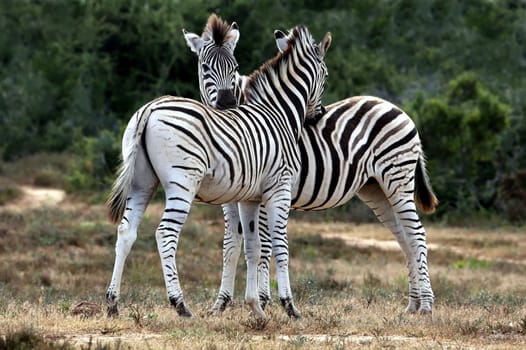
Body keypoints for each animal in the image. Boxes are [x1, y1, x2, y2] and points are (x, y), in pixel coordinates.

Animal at [104, 24, 332, 320]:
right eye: (325, 75)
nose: (318, 115)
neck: (278, 114)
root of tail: (150, 107)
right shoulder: (279, 189)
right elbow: (280, 246)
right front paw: (290, 307)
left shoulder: (249, 198)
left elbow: (252, 247)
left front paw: (256, 308)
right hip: (182, 183)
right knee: (165, 233)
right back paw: (180, 304)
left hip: (142, 182)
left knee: (126, 231)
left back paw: (112, 303)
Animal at [188, 24, 440, 314]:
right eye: (205, 67)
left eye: (234, 67)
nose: (226, 104)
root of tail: (397, 109)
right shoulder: (233, 197)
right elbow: (231, 245)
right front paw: (221, 304)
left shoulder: (266, 192)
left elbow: (263, 245)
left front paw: (263, 300)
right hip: (376, 189)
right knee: (405, 237)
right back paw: (412, 305)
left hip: (397, 179)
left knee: (417, 235)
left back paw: (426, 305)